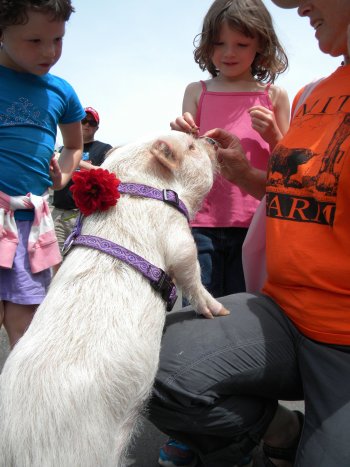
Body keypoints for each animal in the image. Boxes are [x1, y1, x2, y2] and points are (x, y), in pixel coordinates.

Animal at [0, 131, 228, 467]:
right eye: (190, 146)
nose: (212, 141)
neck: (145, 190)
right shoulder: (178, 236)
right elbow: (191, 272)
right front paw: (220, 312)